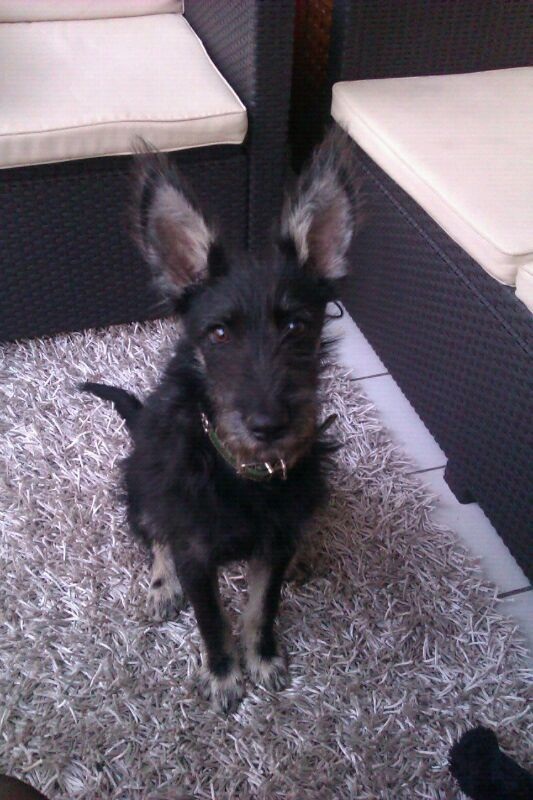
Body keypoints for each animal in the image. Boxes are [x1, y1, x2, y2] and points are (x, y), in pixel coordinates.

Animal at [81, 128, 363, 712]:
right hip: (139, 482)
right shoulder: (194, 552)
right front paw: (224, 674)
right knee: (153, 535)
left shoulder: (275, 539)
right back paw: (161, 587)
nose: (268, 424)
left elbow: (262, 604)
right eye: (217, 334)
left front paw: (261, 657)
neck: (242, 472)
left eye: (298, 327)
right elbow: (211, 618)